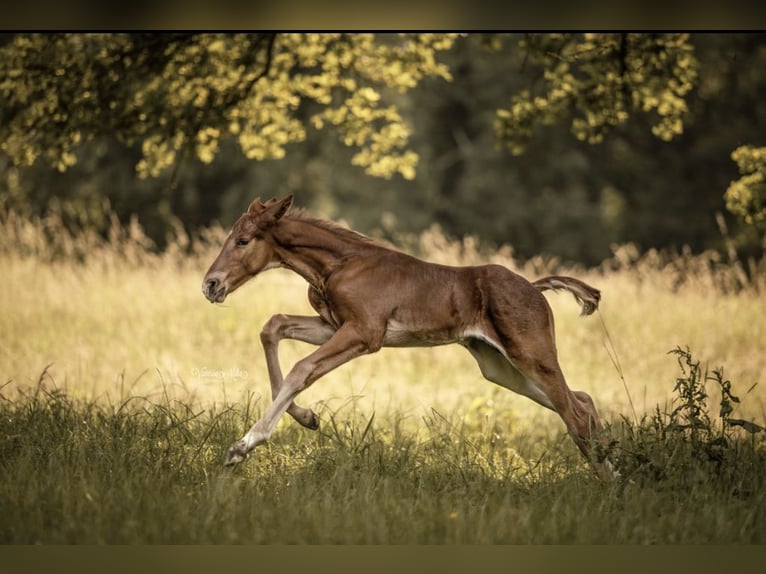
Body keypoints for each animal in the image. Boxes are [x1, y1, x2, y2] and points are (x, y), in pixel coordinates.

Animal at [201, 196, 616, 480]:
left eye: (243, 240)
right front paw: (307, 418)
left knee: (575, 411)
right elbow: (274, 326)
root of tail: (534, 287)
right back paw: (615, 474)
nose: (211, 285)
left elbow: (302, 369)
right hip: (499, 366)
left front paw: (242, 446)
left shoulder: (364, 333)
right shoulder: (333, 326)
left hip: (532, 355)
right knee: (581, 401)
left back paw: (608, 484)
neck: (339, 265)